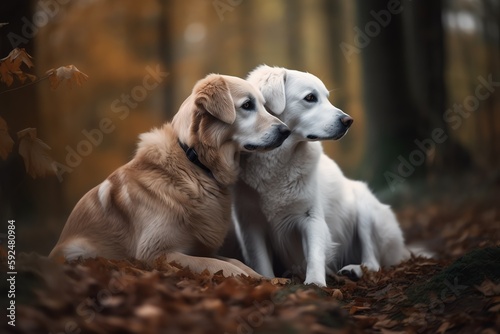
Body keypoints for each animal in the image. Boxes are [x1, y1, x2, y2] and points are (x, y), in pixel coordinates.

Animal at [48, 74, 292, 278]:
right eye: (247, 105)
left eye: (263, 105)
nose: (286, 131)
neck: (195, 163)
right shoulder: (155, 253)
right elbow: (220, 265)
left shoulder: (198, 246)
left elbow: (234, 262)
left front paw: (268, 279)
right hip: (80, 250)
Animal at [234, 65, 410, 288]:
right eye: (310, 97)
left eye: (327, 97)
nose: (348, 121)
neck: (277, 162)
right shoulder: (251, 225)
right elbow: (261, 263)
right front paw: (268, 282)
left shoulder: (312, 217)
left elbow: (315, 255)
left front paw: (315, 284)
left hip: (365, 207)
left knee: (373, 261)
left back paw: (355, 270)